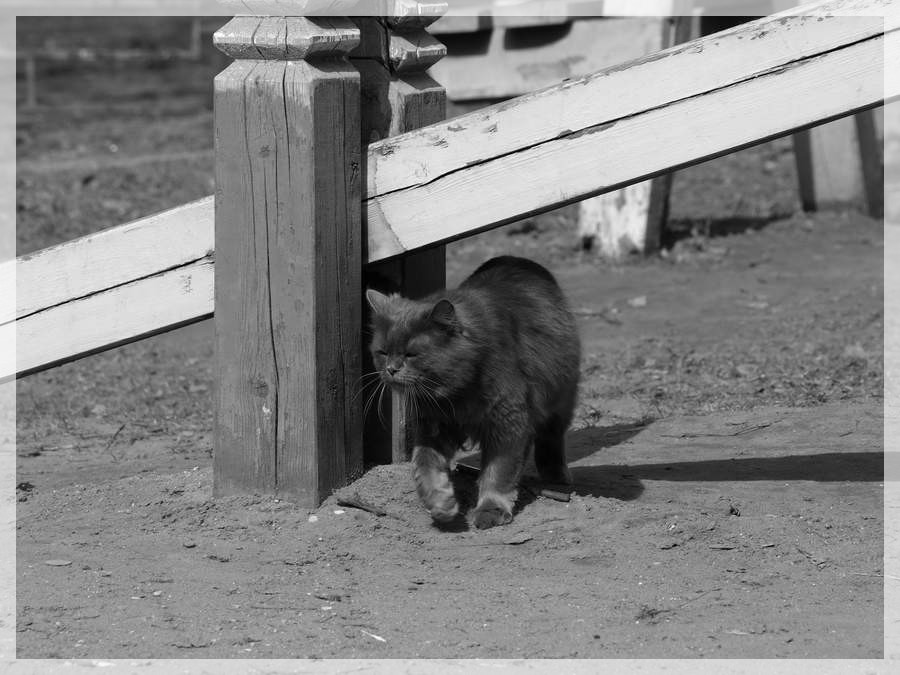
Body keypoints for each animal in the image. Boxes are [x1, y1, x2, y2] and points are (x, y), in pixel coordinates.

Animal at [368, 255, 584, 528]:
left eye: (411, 354)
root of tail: (517, 259)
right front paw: (441, 502)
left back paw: (556, 474)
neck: (456, 391)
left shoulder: (508, 421)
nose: (391, 369)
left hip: (560, 397)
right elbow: (424, 463)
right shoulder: (434, 425)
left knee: (551, 437)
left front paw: (491, 509)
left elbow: (498, 472)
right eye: (383, 352)